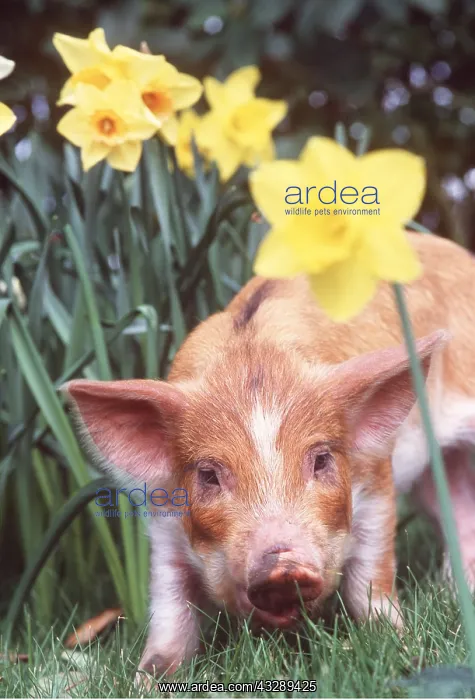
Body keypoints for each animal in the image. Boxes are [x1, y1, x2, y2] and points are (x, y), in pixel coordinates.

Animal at [62, 231, 475, 677]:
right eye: (208, 474)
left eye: (321, 459)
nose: (283, 565)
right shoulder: (163, 520)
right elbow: (170, 616)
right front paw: (147, 680)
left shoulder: (376, 480)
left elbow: (371, 578)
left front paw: (398, 646)